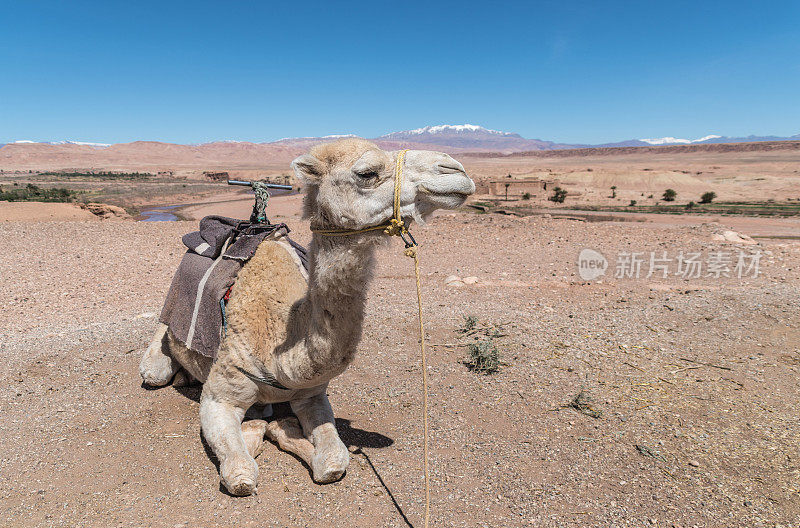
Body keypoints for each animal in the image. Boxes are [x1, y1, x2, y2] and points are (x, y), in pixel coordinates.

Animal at [139, 137, 476, 496]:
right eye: (367, 172)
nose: (455, 170)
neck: (275, 345)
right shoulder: (219, 398)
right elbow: (241, 474)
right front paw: (260, 427)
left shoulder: (313, 396)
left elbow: (333, 461)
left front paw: (283, 428)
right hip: (165, 330)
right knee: (156, 369)